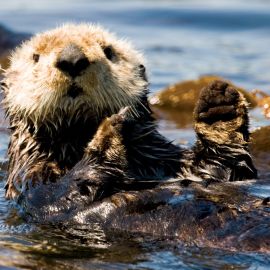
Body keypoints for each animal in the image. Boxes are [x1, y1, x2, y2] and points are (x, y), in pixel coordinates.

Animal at [0, 24, 258, 214]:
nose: (72, 59)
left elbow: (226, 171)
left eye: (108, 51)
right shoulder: (31, 180)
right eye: (35, 57)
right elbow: (57, 196)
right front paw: (108, 133)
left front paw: (220, 109)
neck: (75, 141)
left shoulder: (165, 161)